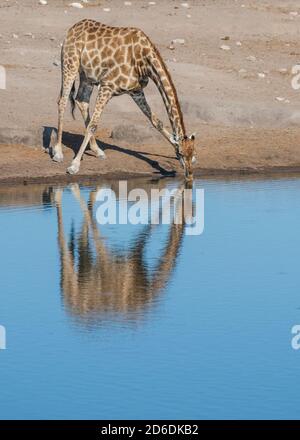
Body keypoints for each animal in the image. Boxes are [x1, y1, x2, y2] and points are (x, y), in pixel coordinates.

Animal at [52, 18, 196, 180]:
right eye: (181, 153)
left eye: (193, 153)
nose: (189, 175)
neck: (144, 60)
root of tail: (72, 28)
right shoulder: (107, 86)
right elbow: (93, 125)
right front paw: (74, 165)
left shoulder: (136, 91)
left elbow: (156, 122)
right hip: (70, 65)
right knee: (62, 101)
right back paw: (58, 152)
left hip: (87, 76)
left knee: (81, 101)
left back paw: (97, 150)